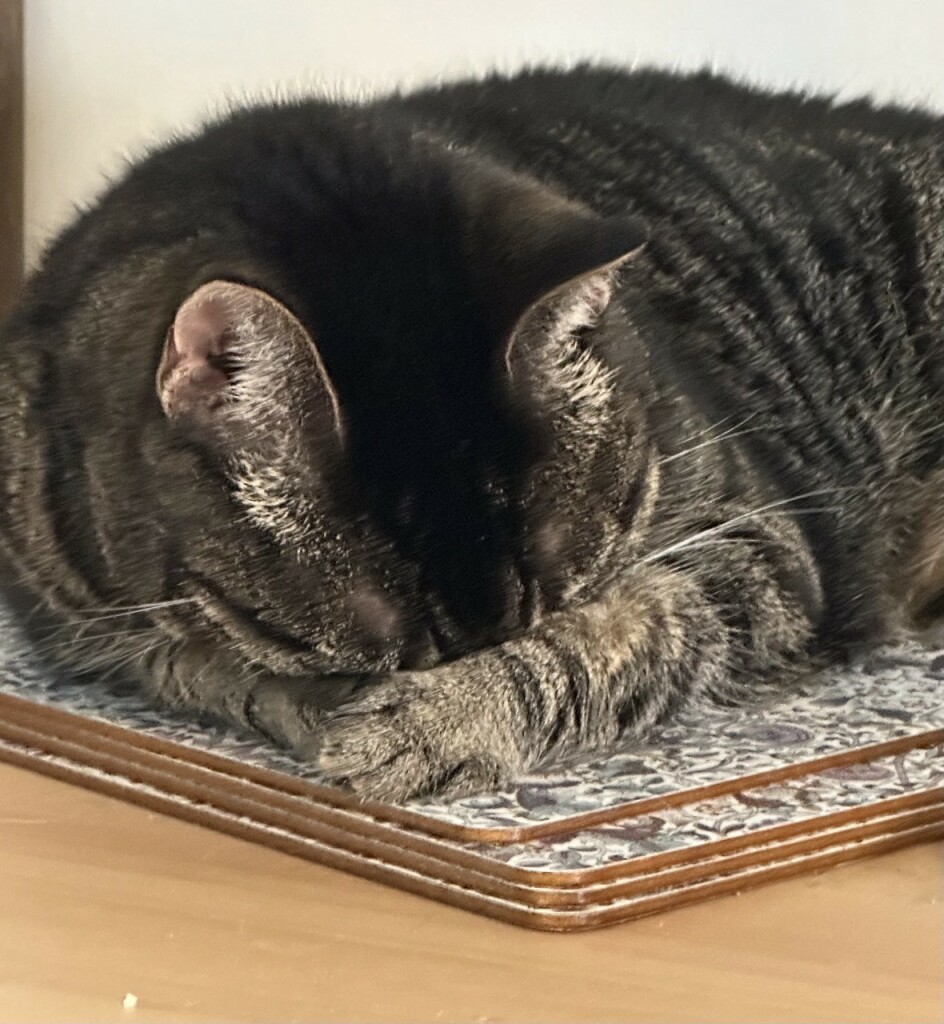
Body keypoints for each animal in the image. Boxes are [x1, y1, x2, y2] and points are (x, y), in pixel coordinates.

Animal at [1, 64, 941, 802]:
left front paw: (444, 716)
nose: (470, 655)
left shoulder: (758, 542)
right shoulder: (77, 624)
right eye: (390, 650)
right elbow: (208, 668)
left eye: (553, 601)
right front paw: (305, 695)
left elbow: (619, 633)